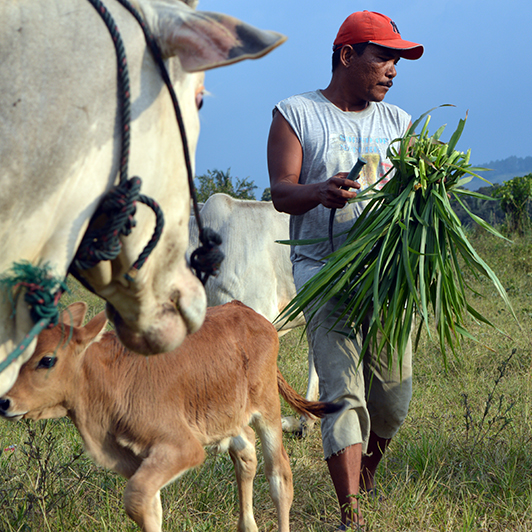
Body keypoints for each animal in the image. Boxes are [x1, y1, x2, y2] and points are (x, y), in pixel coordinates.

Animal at [0, 302, 338, 528]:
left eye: (47, 360)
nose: (4, 402)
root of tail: (248, 312)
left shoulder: (182, 446)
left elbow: (136, 500)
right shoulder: (138, 458)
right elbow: (150, 507)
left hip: (267, 407)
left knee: (279, 476)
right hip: (229, 417)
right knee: (245, 456)